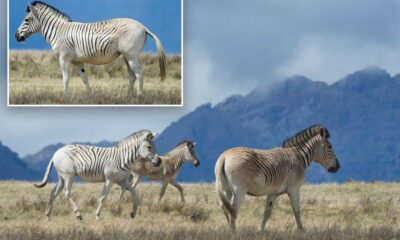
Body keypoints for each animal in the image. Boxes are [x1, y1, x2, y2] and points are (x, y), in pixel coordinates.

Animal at [15, 1, 166, 96]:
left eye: (26, 20)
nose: (16, 36)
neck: (60, 32)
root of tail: (143, 26)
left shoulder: (64, 58)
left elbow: (65, 78)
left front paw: (64, 97)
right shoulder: (77, 61)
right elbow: (84, 78)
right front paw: (91, 96)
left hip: (132, 55)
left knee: (139, 73)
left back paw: (140, 96)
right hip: (126, 56)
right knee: (132, 76)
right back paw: (129, 97)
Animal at [33, 130, 161, 220]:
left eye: (156, 147)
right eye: (149, 147)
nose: (159, 161)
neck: (123, 158)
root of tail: (56, 153)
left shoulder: (122, 181)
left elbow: (134, 192)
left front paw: (133, 213)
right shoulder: (109, 180)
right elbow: (103, 198)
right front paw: (98, 215)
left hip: (62, 177)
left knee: (53, 193)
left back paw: (47, 216)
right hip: (68, 175)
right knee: (67, 193)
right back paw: (78, 214)